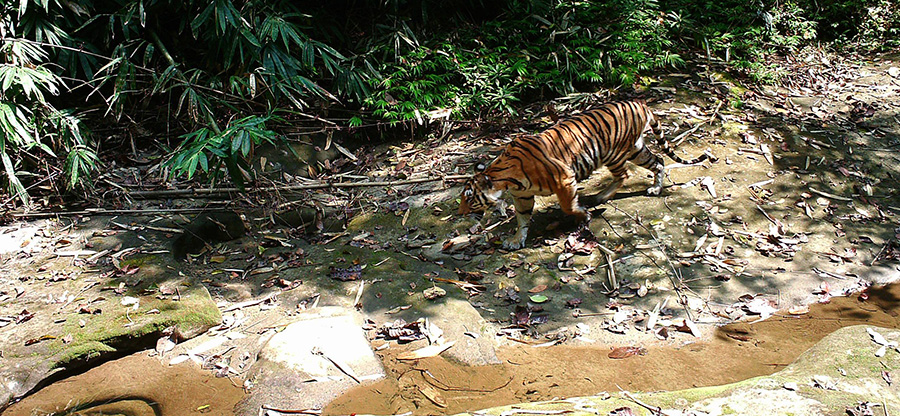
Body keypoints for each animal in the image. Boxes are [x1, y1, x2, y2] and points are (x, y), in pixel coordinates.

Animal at [460, 100, 712, 250]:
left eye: (470, 199)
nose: (461, 214)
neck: (506, 180)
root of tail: (640, 103)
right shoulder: (522, 196)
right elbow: (522, 218)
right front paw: (515, 240)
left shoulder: (564, 178)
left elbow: (568, 205)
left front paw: (583, 214)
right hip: (636, 149)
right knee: (658, 161)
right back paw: (655, 188)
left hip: (614, 153)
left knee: (625, 175)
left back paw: (602, 196)